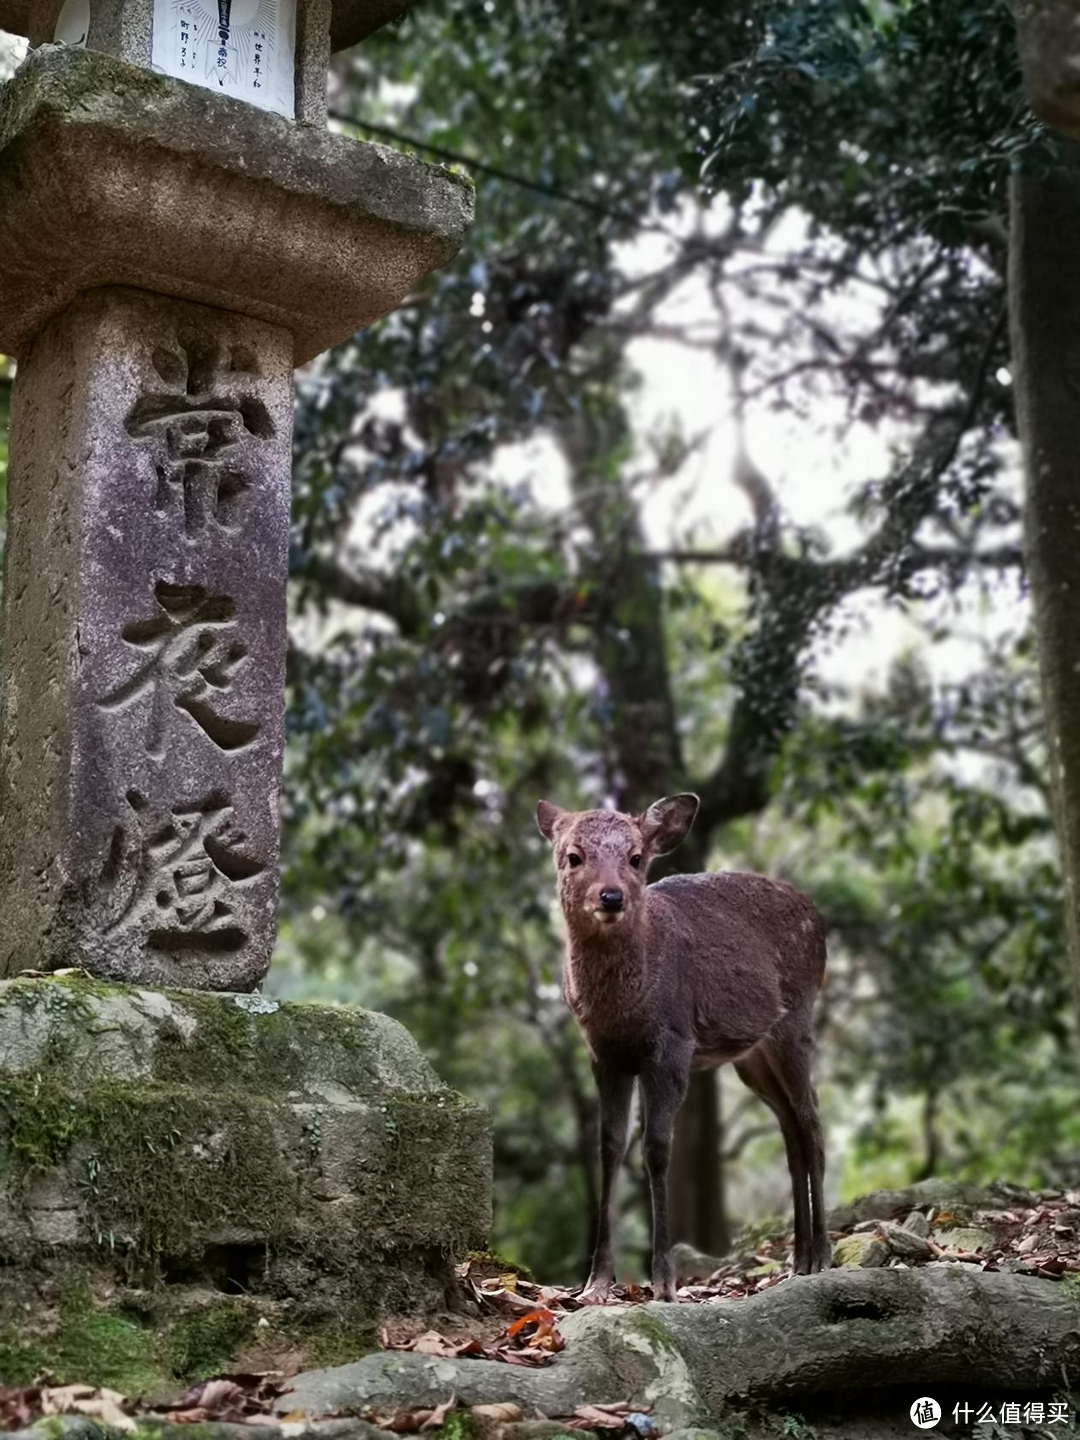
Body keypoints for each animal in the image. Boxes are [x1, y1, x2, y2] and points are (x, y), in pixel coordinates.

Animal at [538, 794, 835, 1301]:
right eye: (573, 856)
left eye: (636, 857)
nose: (611, 897)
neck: (625, 1009)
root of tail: (818, 921)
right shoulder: (605, 1055)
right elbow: (609, 1146)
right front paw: (595, 1283)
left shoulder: (672, 1045)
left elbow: (657, 1149)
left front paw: (664, 1282)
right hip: (753, 1057)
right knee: (791, 1127)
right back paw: (798, 1260)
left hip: (797, 1020)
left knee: (812, 1119)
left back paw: (820, 1255)